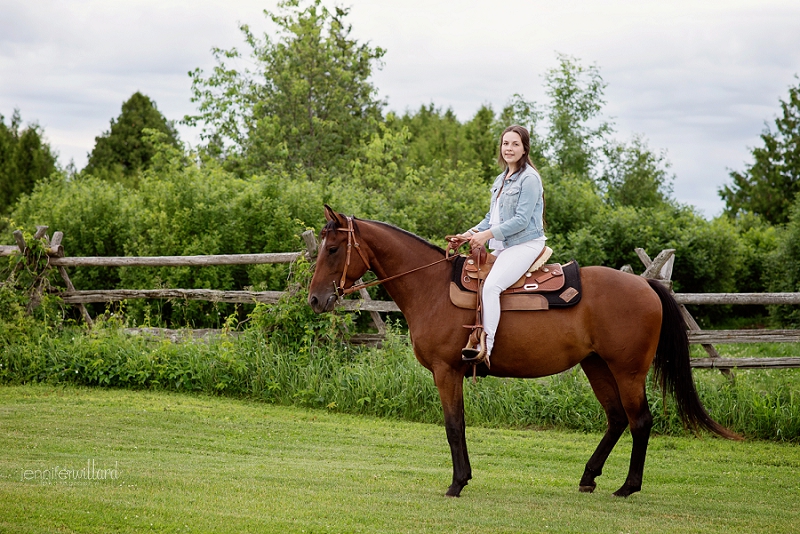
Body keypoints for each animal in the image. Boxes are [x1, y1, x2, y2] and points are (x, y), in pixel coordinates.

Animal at [308, 207, 744, 500]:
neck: (430, 286)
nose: (315, 299)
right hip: (597, 366)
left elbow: (453, 425)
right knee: (617, 419)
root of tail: (647, 285)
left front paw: (456, 483)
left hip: (628, 370)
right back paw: (589, 477)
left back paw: (627, 487)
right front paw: (464, 478)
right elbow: (458, 425)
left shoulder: (446, 370)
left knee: (640, 421)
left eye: (334, 249)